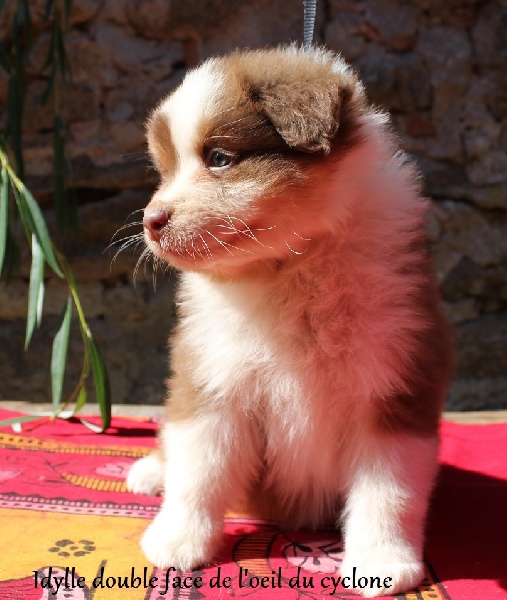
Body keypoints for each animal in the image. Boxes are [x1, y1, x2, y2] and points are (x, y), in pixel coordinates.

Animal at [127, 45, 452, 596]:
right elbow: (198, 470)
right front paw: (177, 541)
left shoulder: (396, 382)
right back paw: (150, 473)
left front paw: (383, 563)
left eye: (219, 158)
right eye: (163, 172)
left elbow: (389, 492)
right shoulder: (212, 376)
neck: (291, 270)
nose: (151, 222)